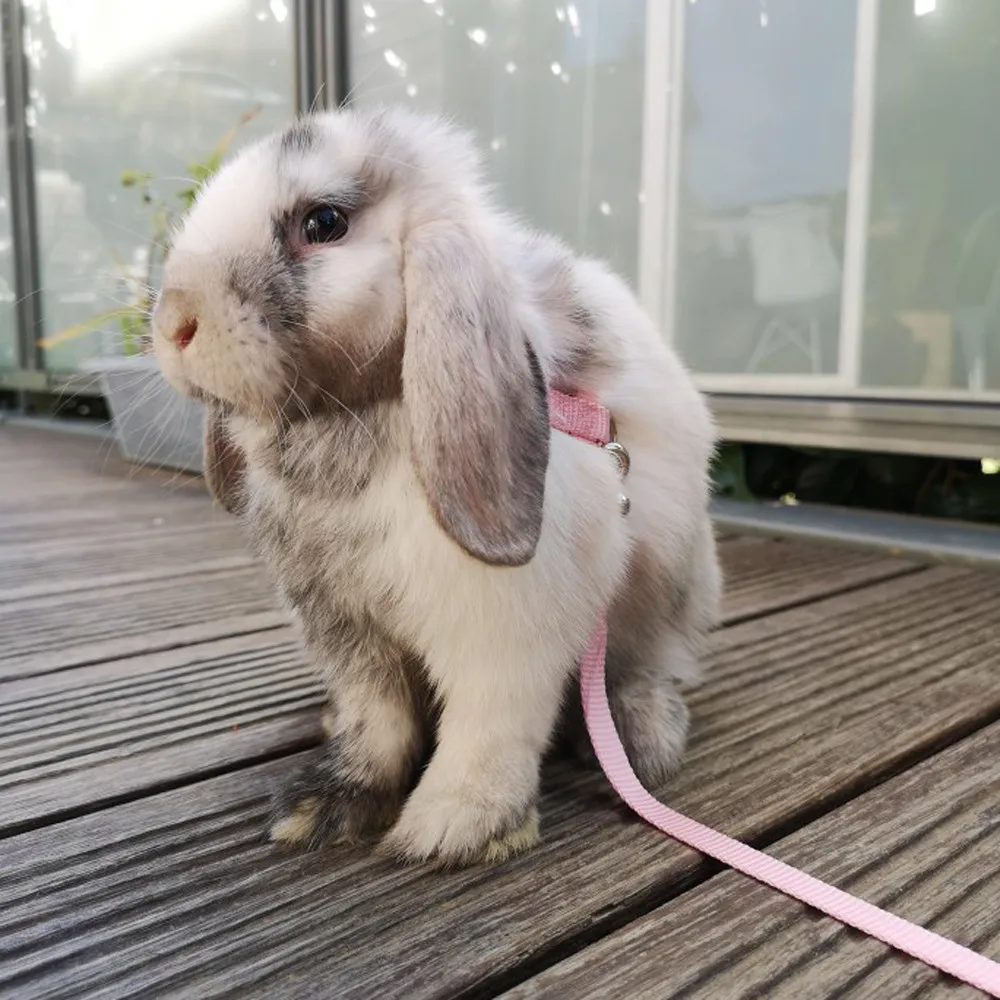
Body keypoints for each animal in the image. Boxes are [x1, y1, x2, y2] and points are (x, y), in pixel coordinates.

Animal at [150, 105, 720, 864]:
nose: (173, 321)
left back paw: (641, 737)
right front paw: (328, 803)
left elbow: (487, 726)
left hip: (668, 595)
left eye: (323, 222)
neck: (352, 416)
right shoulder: (345, 627)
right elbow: (379, 720)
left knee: (643, 668)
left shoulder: (503, 628)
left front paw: (456, 828)